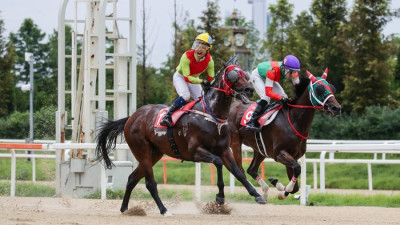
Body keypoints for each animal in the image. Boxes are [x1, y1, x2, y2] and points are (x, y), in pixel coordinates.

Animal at [95, 62, 268, 215]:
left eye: (245, 74)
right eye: (233, 75)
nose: (249, 89)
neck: (212, 115)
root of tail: (131, 117)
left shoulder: (225, 150)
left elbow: (238, 172)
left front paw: (257, 195)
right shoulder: (195, 152)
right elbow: (218, 162)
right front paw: (220, 197)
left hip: (155, 153)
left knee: (132, 178)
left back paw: (125, 208)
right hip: (141, 151)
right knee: (150, 183)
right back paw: (164, 210)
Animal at [228, 68, 340, 200]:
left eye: (332, 88)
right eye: (319, 89)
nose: (336, 108)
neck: (294, 120)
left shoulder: (293, 156)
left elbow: (295, 186)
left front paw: (279, 187)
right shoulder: (280, 154)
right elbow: (297, 168)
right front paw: (281, 189)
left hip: (260, 149)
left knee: (251, 169)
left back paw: (265, 190)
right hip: (235, 142)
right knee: (240, 170)